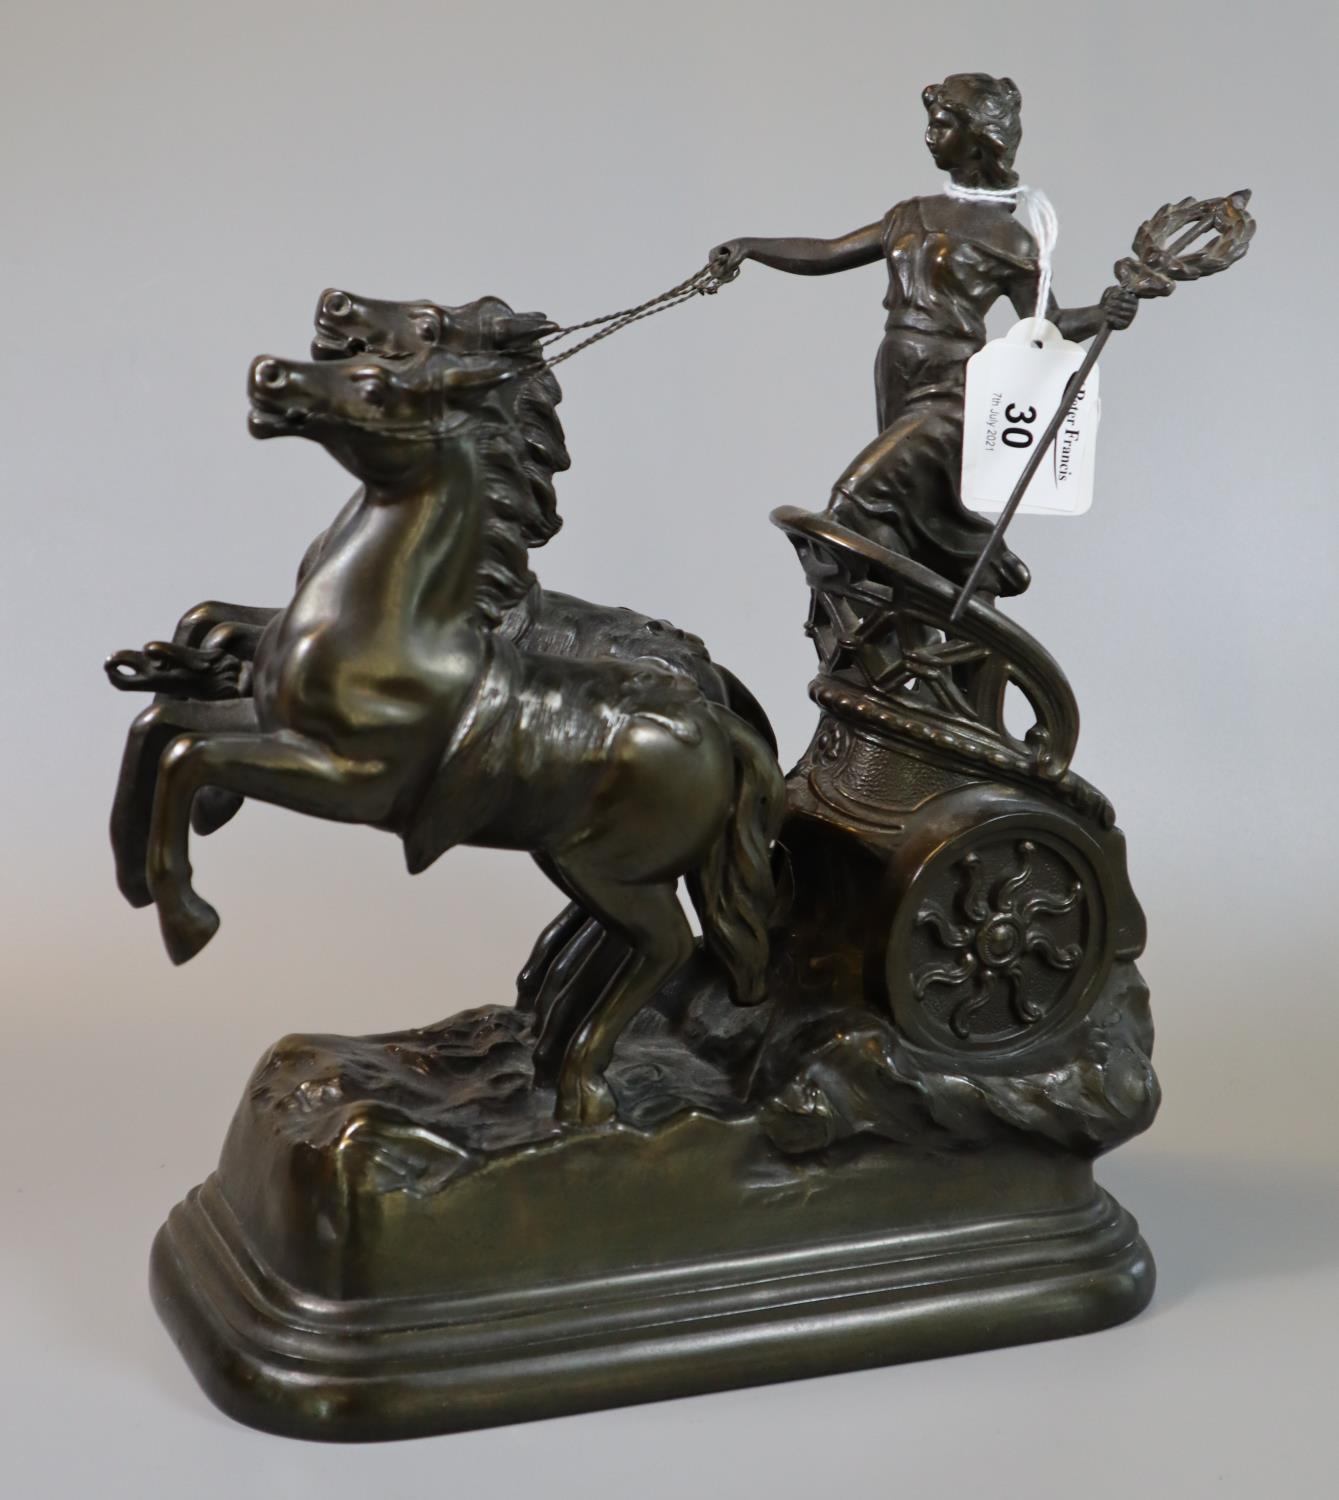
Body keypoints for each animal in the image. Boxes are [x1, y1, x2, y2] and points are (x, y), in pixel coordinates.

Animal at [136, 343, 785, 1124]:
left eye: (381, 376)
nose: (271, 373)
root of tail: (713, 699)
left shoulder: (346, 772)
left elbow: (196, 723)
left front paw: (193, 884)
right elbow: (189, 667)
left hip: (605, 865)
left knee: (662, 942)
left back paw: (573, 1072)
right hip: (570, 853)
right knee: (623, 938)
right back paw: (548, 1045)